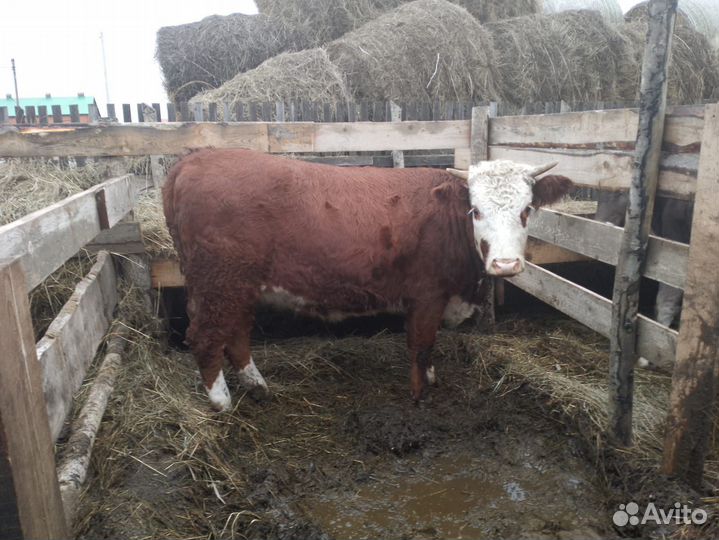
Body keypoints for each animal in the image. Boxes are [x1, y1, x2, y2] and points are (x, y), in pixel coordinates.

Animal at [162, 149, 573, 411]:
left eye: (527, 209)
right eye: (475, 210)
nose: (505, 264)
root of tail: (193, 159)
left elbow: (430, 345)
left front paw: (431, 377)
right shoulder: (426, 294)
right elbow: (421, 343)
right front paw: (419, 394)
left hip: (237, 286)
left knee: (236, 333)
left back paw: (257, 385)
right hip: (219, 282)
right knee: (205, 337)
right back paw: (222, 402)